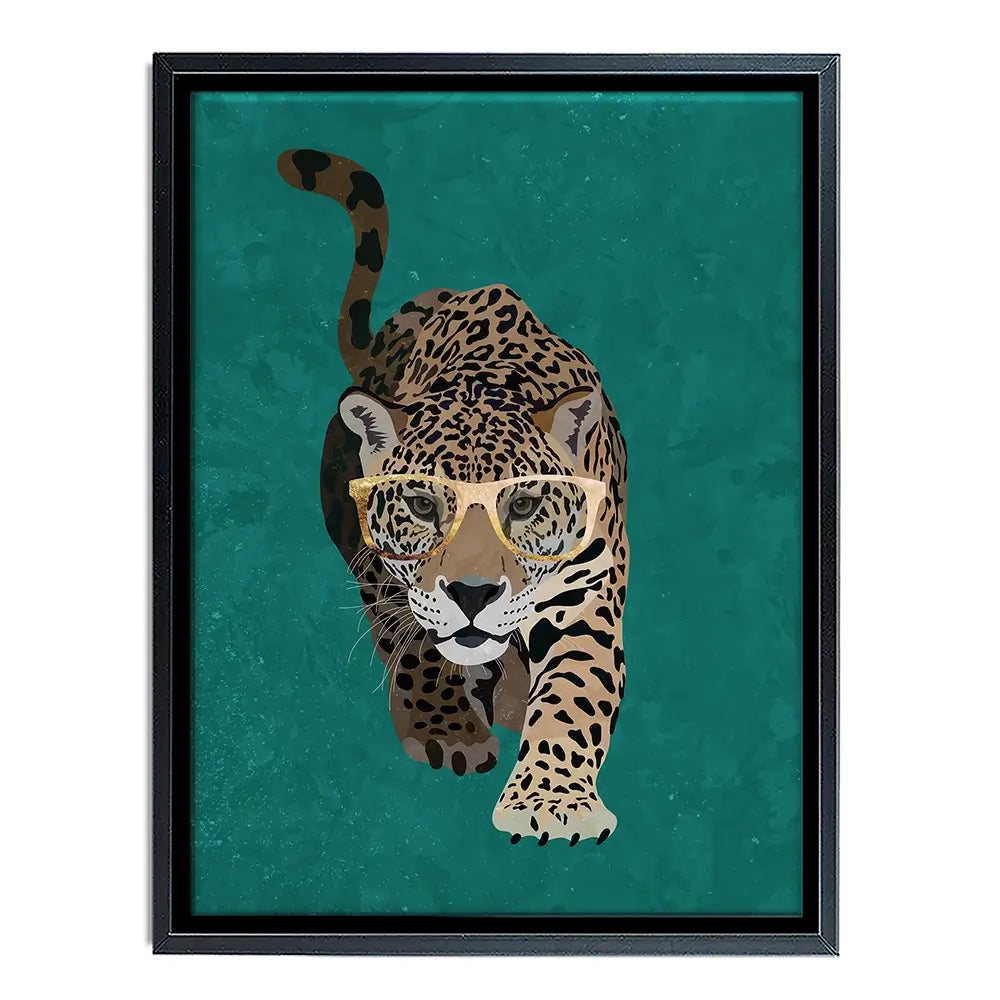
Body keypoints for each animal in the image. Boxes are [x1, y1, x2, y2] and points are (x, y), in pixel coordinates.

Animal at [276, 148, 629, 845]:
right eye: (421, 505)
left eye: (522, 505)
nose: (472, 595)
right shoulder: (386, 569)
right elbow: (415, 643)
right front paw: (448, 730)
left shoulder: (586, 592)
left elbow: (575, 693)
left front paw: (551, 803)